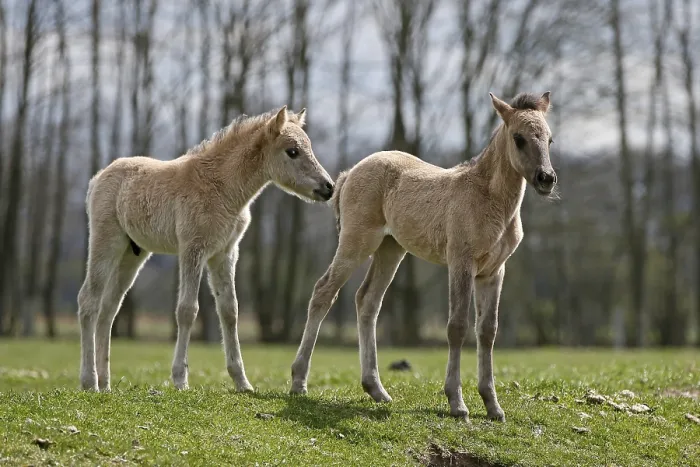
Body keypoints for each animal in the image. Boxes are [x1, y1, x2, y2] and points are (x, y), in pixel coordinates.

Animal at [78, 106, 334, 392]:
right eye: (292, 151)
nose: (329, 187)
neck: (221, 188)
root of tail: (98, 177)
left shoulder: (225, 254)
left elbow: (230, 310)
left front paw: (242, 382)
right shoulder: (193, 249)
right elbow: (187, 310)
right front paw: (180, 379)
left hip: (132, 254)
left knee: (109, 309)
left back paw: (105, 383)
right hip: (106, 242)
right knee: (89, 301)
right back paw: (89, 381)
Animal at [290, 92, 557, 421]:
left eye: (549, 139)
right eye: (519, 138)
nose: (547, 179)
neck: (487, 199)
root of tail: (349, 172)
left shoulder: (493, 271)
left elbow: (488, 331)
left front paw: (493, 406)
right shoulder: (460, 263)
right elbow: (457, 326)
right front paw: (457, 403)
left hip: (390, 249)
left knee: (367, 301)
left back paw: (376, 389)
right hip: (357, 242)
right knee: (324, 291)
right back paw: (299, 382)